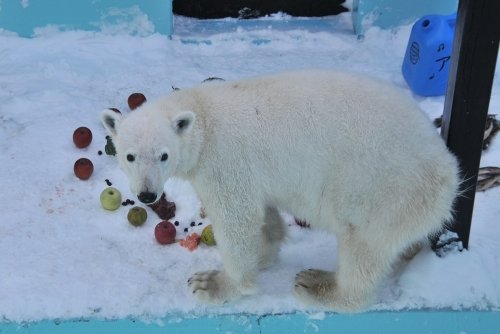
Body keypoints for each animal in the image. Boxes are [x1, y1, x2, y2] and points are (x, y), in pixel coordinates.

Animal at [101, 70, 460, 314]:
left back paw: (317, 285)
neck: (202, 115)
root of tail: (448, 175)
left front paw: (213, 284)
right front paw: (265, 253)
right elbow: (263, 214)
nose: (147, 195)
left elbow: (237, 219)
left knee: (363, 244)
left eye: (163, 155)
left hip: (382, 187)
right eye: (130, 156)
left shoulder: (224, 161)